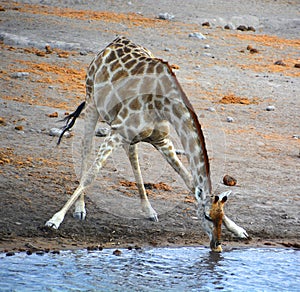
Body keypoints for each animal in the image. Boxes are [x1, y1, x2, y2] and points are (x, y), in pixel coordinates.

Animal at [46, 36, 248, 251]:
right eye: (206, 216)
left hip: (126, 131)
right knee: (86, 147)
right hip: (92, 100)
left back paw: (149, 210)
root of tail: (111, 44)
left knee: (131, 153)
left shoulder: (161, 140)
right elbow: (91, 176)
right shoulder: (118, 131)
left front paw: (238, 229)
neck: (163, 105)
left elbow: (190, 181)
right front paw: (55, 220)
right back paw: (80, 209)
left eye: (220, 217)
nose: (217, 244)